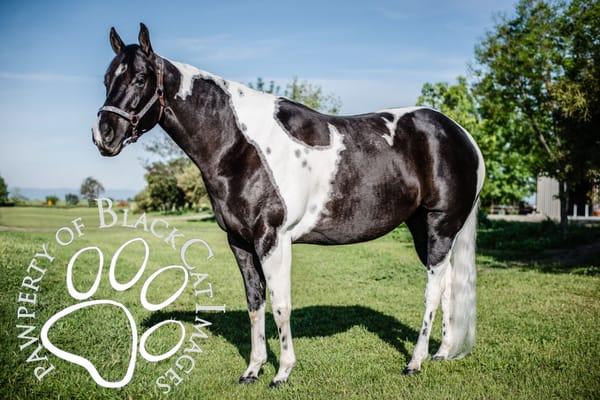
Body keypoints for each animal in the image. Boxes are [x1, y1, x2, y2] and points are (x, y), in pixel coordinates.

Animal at [94, 23, 486, 386]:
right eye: (106, 79)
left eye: (140, 78)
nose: (103, 136)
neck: (241, 146)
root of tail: (461, 136)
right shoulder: (240, 241)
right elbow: (255, 303)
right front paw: (252, 369)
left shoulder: (272, 239)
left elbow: (281, 305)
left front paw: (282, 372)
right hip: (424, 228)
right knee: (447, 286)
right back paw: (442, 353)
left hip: (440, 225)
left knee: (433, 292)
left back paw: (415, 361)